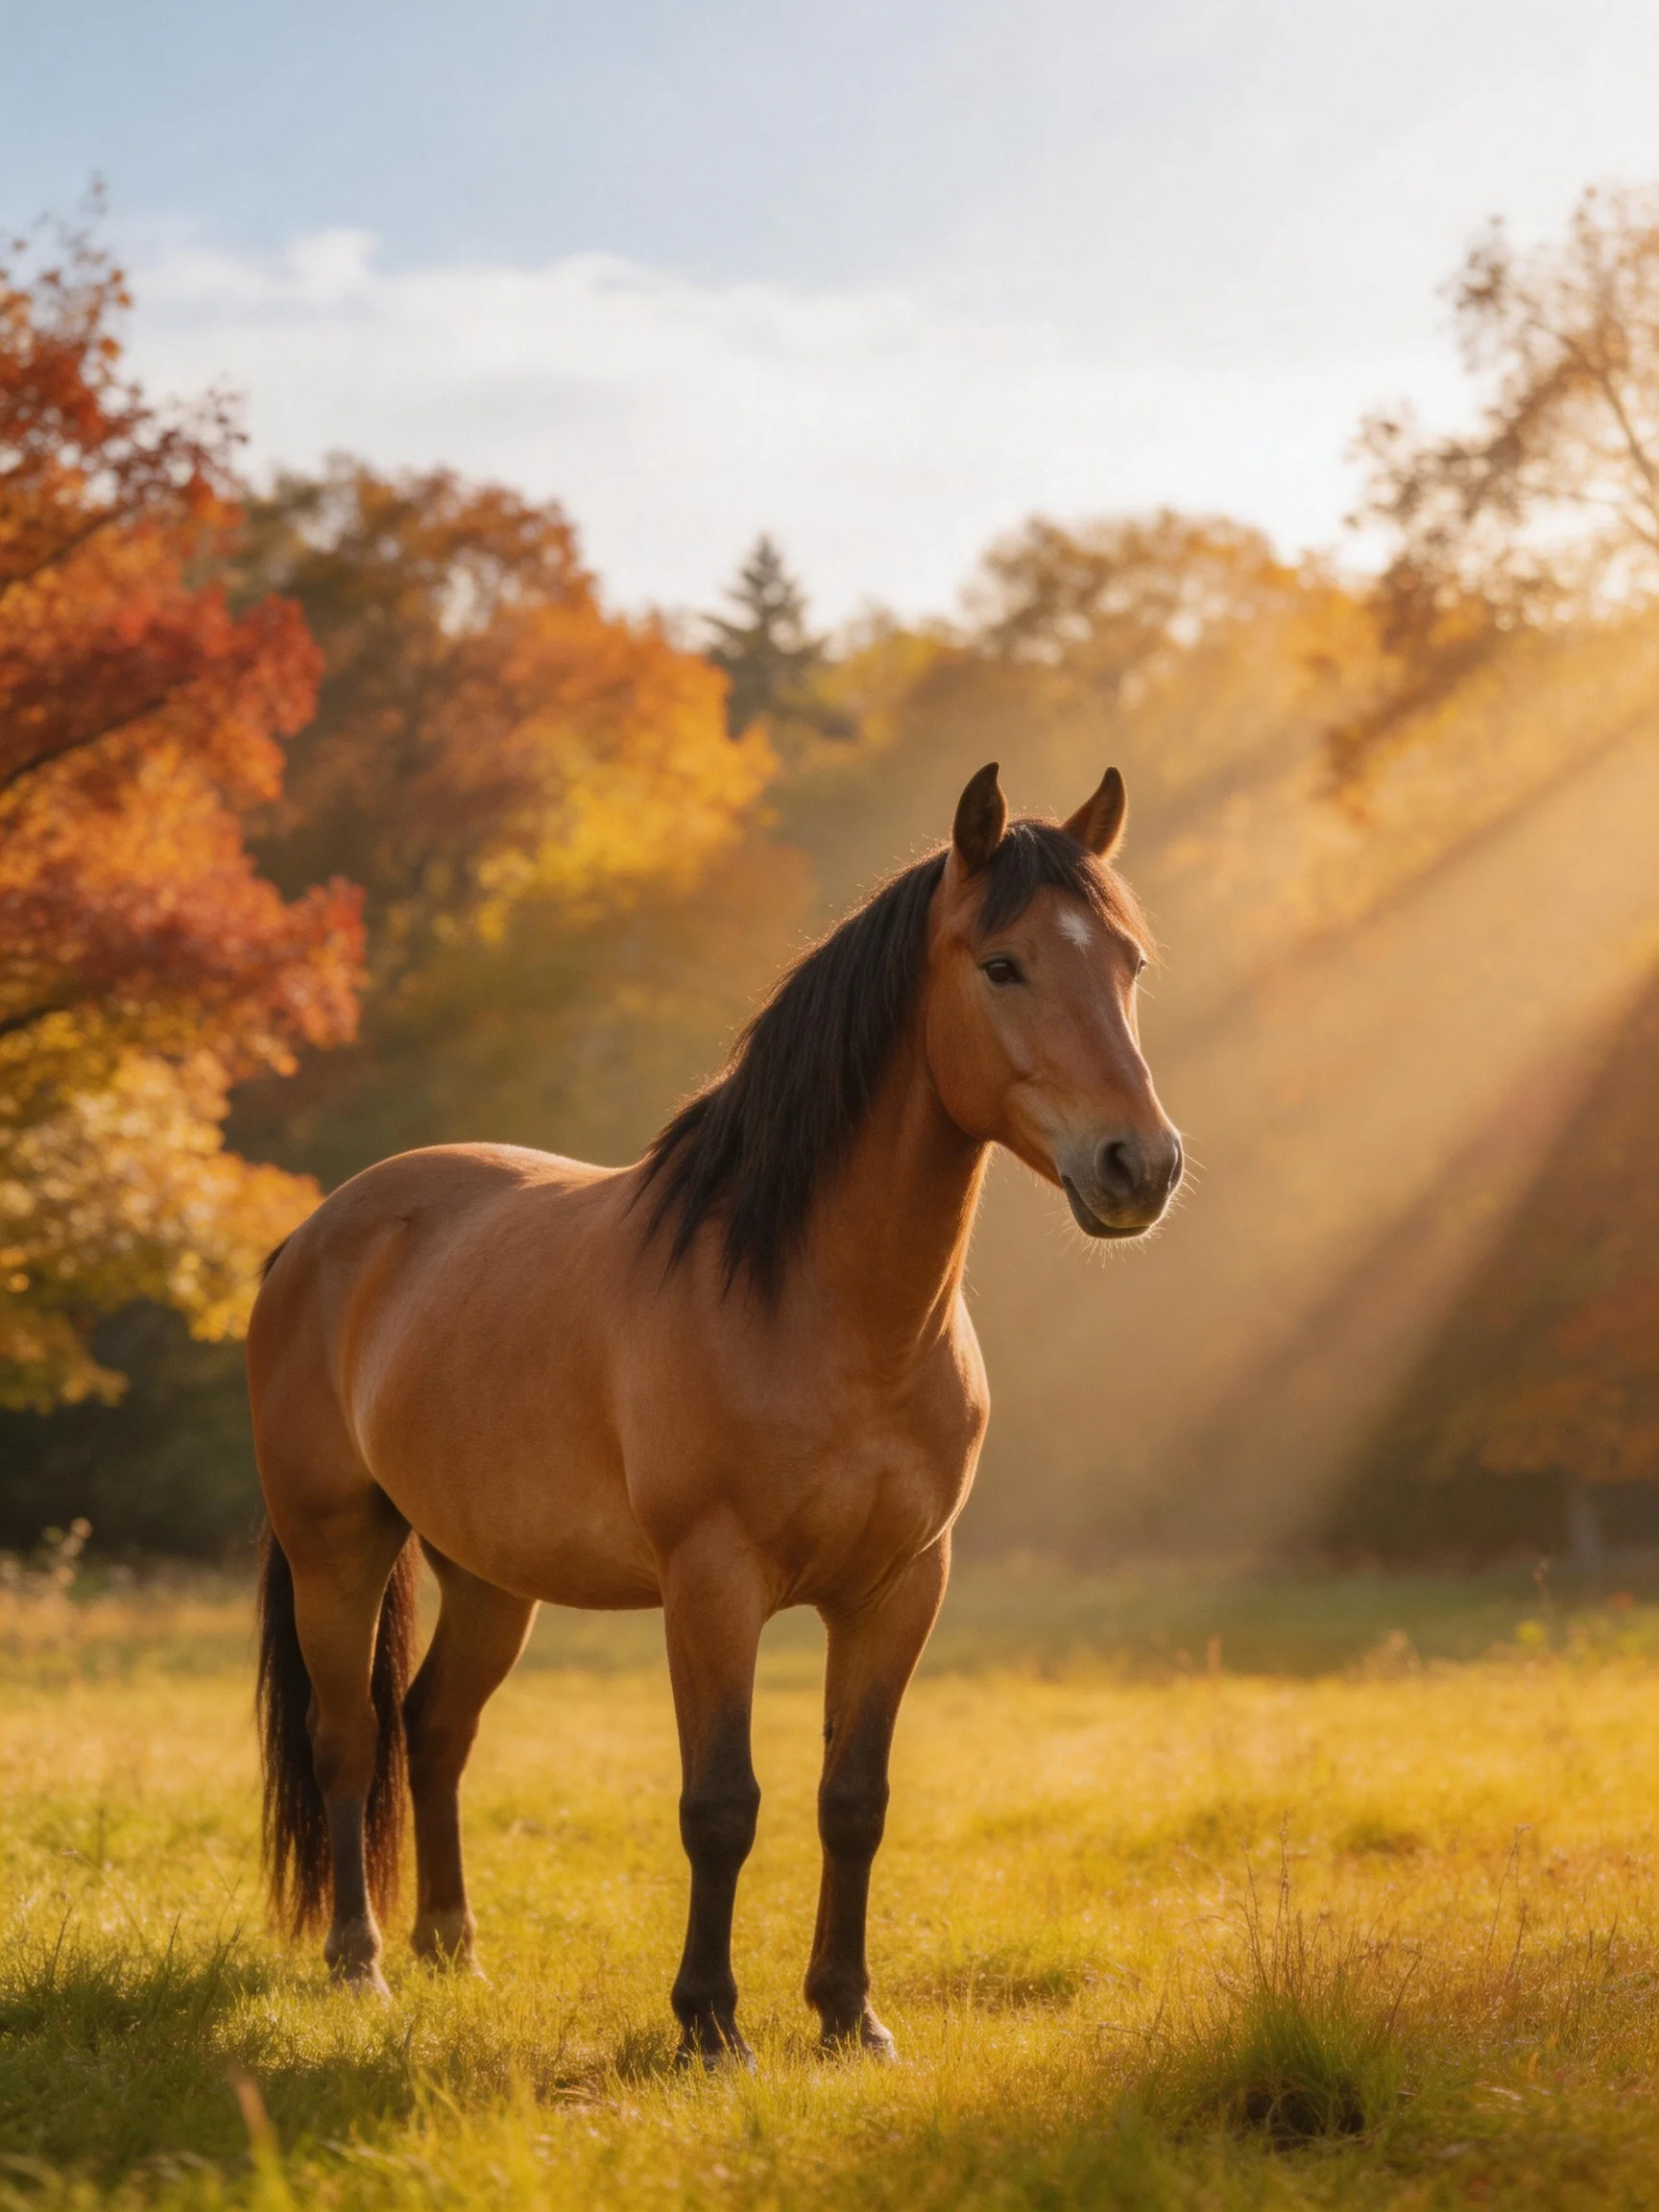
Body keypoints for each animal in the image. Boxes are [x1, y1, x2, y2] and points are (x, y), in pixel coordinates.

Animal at [248, 760, 1183, 2065]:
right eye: (1003, 965)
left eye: (1130, 963)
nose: (1140, 1166)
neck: (821, 1311)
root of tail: (315, 1235)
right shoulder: (713, 1584)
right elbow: (721, 1803)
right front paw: (709, 2025)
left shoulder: (902, 1587)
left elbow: (854, 1801)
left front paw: (850, 2017)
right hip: (337, 1548)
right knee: (349, 1738)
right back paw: (362, 1965)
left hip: (488, 1576)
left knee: (433, 1731)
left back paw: (454, 1951)